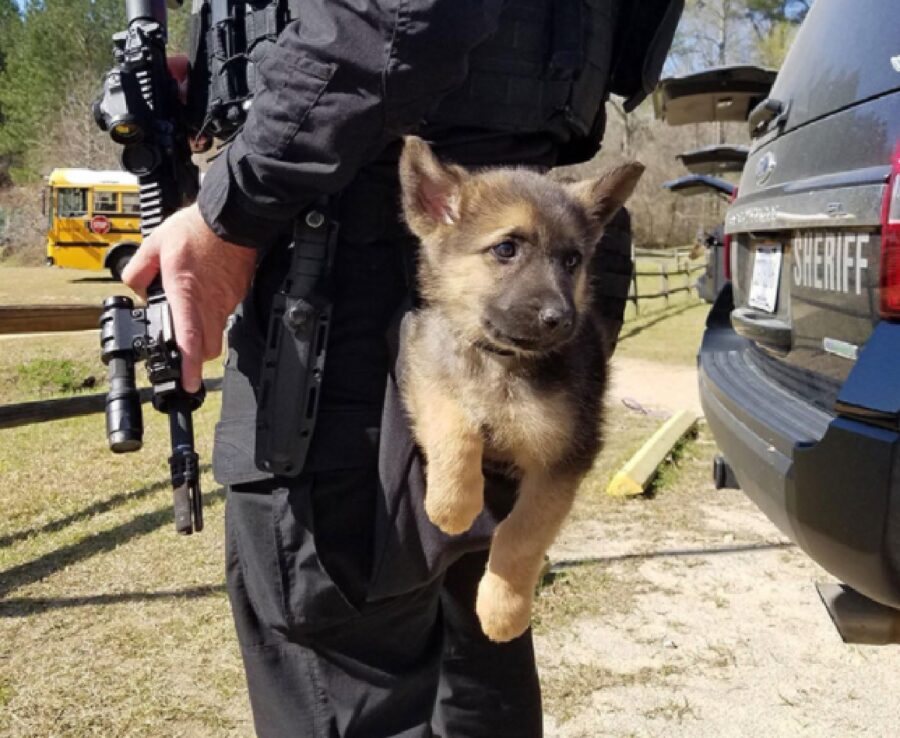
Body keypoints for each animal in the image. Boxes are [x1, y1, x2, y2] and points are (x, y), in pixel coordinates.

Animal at [398, 135, 644, 640]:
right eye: (506, 248)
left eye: (572, 260)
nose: (561, 319)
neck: (501, 364)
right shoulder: (424, 369)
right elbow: (454, 426)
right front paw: (452, 505)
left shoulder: (564, 459)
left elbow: (522, 533)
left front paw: (503, 611)